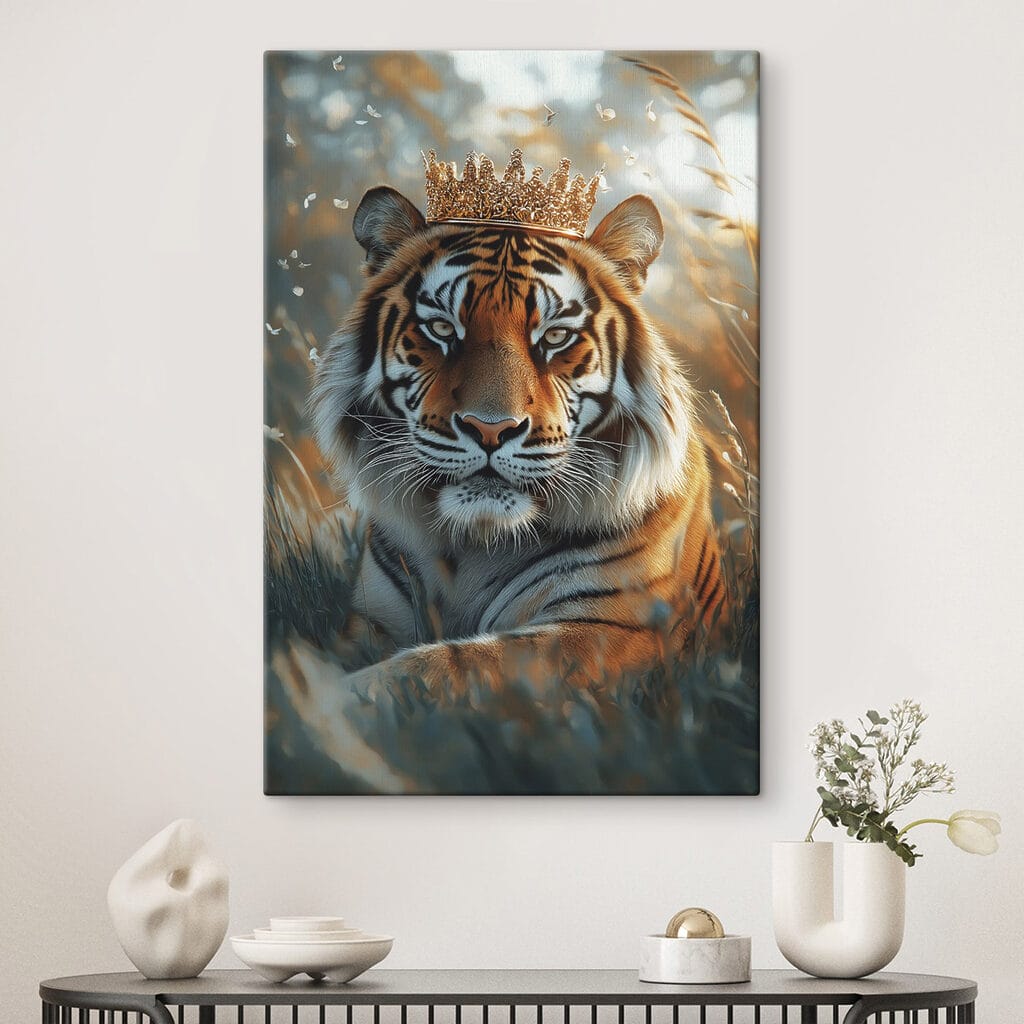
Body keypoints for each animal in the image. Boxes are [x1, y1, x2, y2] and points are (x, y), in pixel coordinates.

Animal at [309, 184, 725, 699]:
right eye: (442, 328)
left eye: (556, 336)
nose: (491, 429)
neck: (474, 544)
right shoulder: (372, 618)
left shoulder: (607, 630)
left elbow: (449, 664)